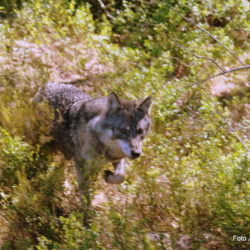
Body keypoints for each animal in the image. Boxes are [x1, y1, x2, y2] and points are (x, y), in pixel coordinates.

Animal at [34, 82, 152, 227]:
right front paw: (88, 223)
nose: (136, 153)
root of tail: (47, 84)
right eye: (123, 131)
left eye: (140, 131)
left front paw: (108, 176)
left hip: (66, 154)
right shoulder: (82, 166)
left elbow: (121, 176)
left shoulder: (118, 157)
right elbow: (85, 197)